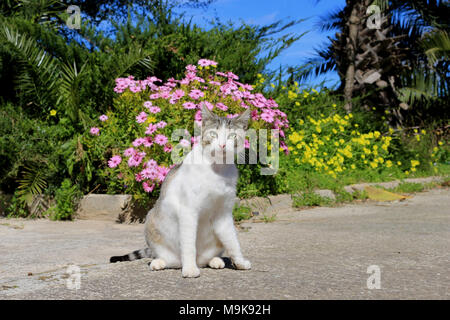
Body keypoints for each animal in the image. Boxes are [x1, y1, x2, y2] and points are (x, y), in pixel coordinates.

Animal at [108, 105, 250, 278]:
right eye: (213, 134)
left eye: (232, 136)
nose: (222, 145)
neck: (217, 169)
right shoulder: (189, 211)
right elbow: (188, 244)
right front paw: (189, 269)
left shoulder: (223, 213)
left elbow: (232, 241)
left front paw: (239, 262)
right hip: (151, 220)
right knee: (169, 259)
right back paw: (160, 262)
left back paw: (215, 260)